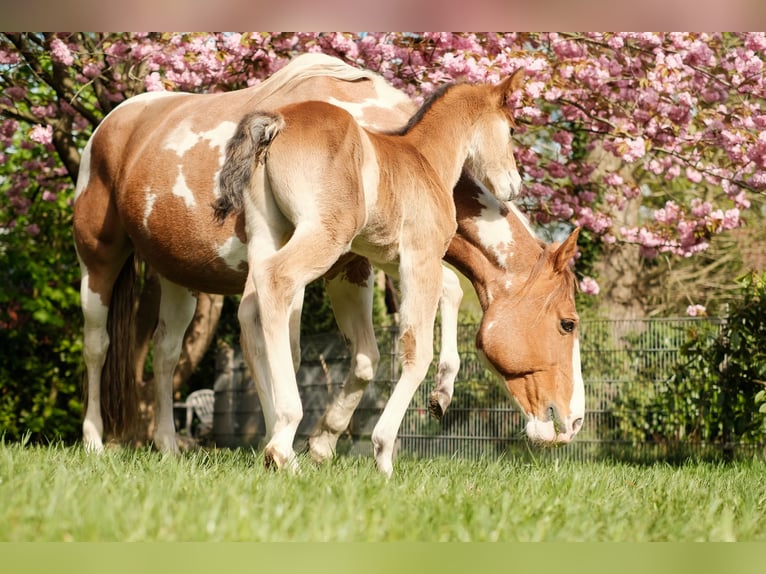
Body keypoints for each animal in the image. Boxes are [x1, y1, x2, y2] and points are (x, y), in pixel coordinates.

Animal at [73, 53, 584, 475]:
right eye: (568, 323)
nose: (574, 422)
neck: (415, 155)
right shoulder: (394, 258)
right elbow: (406, 347)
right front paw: (374, 450)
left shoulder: (375, 259)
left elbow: (384, 342)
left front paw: (322, 442)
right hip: (102, 262)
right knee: (99, 345)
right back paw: (97, 441)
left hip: (184, 273)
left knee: (171, 348)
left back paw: (174, 445)